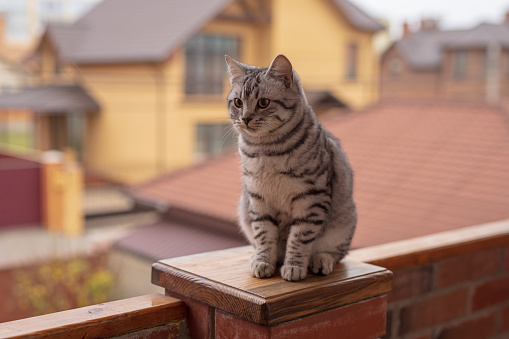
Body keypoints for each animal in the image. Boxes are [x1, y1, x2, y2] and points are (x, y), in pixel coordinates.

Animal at [224, 54, 356, 282]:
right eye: (238, 102)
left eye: (263, 102)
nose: (245, 118)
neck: (265, 150)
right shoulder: (258, 198)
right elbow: (264, 235)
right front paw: (263, 262)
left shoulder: (311, 198)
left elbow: (299, 238)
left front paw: (294, 267)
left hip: (343, 224)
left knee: (335, 253)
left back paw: (320, 260)